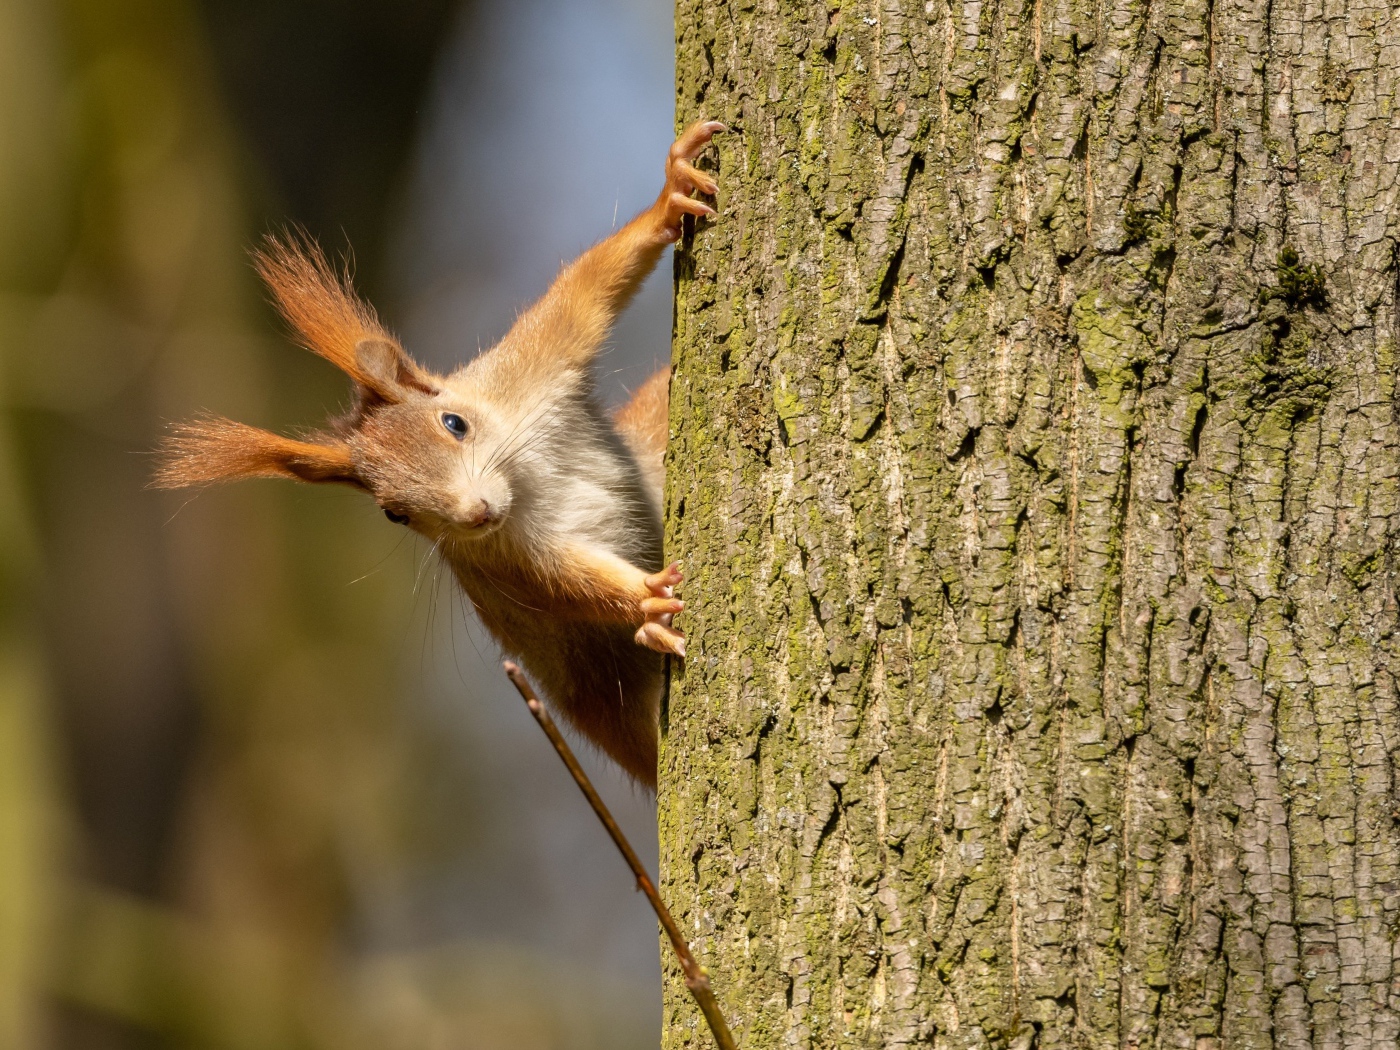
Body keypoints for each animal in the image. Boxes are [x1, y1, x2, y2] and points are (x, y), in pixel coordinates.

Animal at [156, 121, 722, 789]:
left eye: (455, 423)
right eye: (393, 514)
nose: (475, 513)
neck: (524, 483)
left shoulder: (529, 368)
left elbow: (584, 294)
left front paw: (671, 193)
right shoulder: (503, 565)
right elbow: (568, 585)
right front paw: (645, 598)